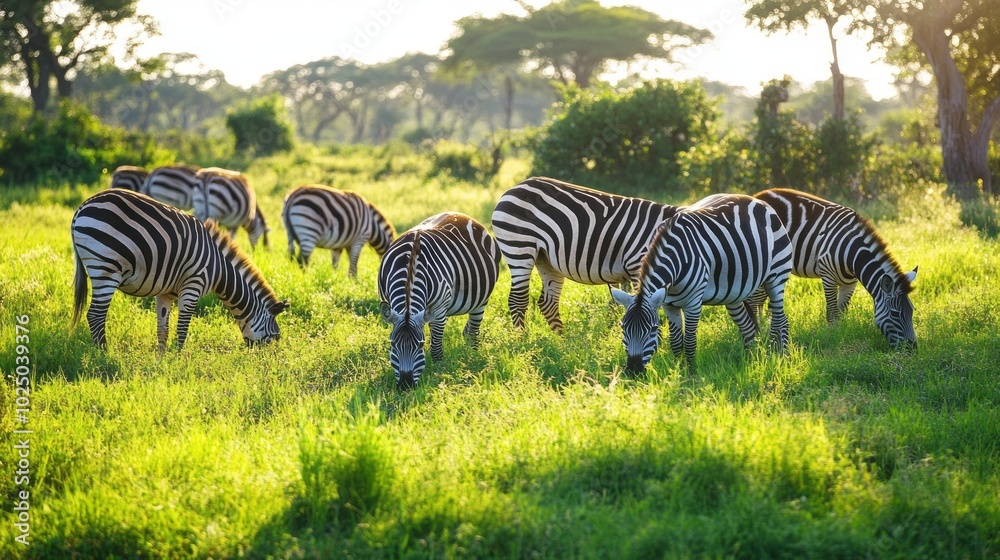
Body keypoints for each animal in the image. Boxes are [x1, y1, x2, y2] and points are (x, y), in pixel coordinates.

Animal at [71, 189, 289, 351]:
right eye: (273, 339)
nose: (263, 363)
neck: (219, 269)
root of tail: (82, 207)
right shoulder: (193, 285)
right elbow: (182, 328)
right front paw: (178, 358)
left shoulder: (165, 293)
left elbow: (163, 329)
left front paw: (161, 361)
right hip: (105, 267)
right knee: (95, 315)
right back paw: (104, 354)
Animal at [378, 212, 501, 389]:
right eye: (393, 344)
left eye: (420, 345)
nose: (406, 386)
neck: (409, 265)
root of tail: (464, 215)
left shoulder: (438, 309)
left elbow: (436, 347)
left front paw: (438, 373)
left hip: (480, 300)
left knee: (473, 331)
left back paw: (473, 355)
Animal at [491, 176, 677, 333]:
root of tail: (514, 188)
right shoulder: (637, 265)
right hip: (519, 247)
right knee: (518, 300)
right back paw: (522, 339)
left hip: (545, 259)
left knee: (548, 302)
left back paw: (562, 342)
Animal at [611, 193, 793, 374]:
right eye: (623, 328)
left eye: (653, 329)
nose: (633, 370)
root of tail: (758, 200)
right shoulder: (668, 305)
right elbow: (675, 341)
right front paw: (678, 371)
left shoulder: (693, 303)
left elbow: (689, 341)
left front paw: (691, 373)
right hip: (734, 294)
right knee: (748, 326)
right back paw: (750, 360)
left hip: (777, 275)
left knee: (780, 320)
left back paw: (780, 356)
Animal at [752, 188, 917, 350]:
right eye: (895, 314)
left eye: (912, 311)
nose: (913, 349)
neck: (852, 253)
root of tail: (759, 194)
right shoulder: (828, 276)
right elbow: (832, 313)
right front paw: (832, 337)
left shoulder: (850, 284)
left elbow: (842, 312)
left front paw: (840, 335)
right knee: (756, 301)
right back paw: (760, 333)